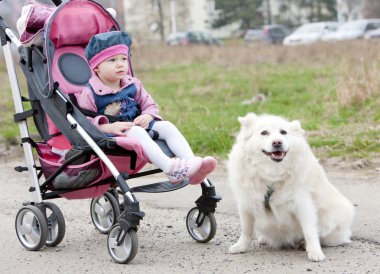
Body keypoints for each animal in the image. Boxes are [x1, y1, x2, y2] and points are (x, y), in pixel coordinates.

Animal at [227, 113, 354, 262]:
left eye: (283, 132)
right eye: (264, 132)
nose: (277, 142)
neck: (272, 175)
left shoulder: (303, 204)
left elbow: (310, 231)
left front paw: (315, 252)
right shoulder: (246, 204)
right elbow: (246, 230)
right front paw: (241, 246)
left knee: (323, 237)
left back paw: (303, 243)